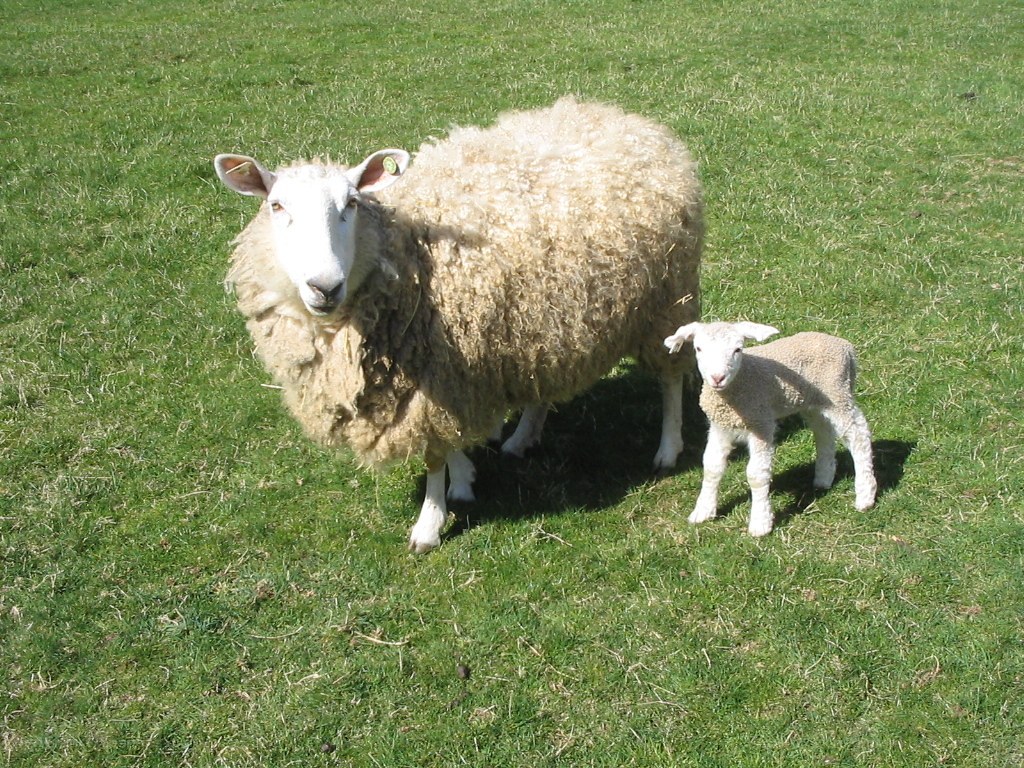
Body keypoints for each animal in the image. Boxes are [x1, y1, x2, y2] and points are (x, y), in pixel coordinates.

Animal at [213, 97, 703, 553]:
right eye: (276, 206)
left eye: (351, 203)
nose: (324, 286)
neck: (406, 252)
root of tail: (625, 119)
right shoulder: (449, 377)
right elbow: (450, 445)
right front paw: (465, 475)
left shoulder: (434, 379)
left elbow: (433, 457)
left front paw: (430, 523)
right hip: (547, 320)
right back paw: (522, 437)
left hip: (669, 297)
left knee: (670, 377)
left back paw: (668, 447)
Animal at [664, 321, 876, 536]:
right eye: (699, 348)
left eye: (737, 349)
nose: (717, 378)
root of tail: (847, 348)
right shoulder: (720, 427)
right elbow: (711, 467)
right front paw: (703, 511)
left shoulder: (761, 423)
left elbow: (756, 475)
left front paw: (761, 522)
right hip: (815, 401)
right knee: (823, 431)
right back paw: (824, 477)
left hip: (838, 394)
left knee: (858, 435)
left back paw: (865, 494)